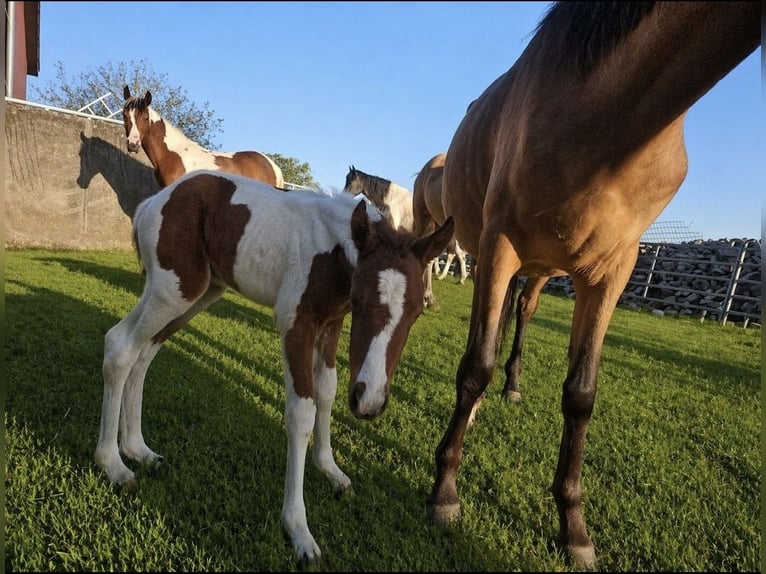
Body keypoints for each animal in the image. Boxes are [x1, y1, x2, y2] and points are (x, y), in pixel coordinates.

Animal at [95, 170, 454, 562]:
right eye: (359, 300)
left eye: (417, 312)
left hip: (199, 293)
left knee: (142, 355)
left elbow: (327, 390)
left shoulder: (331, 323)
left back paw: (137, 449)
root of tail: (153, 202)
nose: (369, 402)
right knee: (120, 347)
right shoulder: (295, 324)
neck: (333, 250)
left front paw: (330, 469)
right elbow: (301, 413)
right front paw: (298, 528)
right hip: (173, 291)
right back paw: (113, 464)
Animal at [427, 2, 759, 569]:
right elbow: (475, 365)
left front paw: (574, 529)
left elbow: (580, 393)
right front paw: (445, 492)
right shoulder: (499, 241)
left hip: (539, 269)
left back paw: (510, 389)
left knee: (521, 313)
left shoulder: (612, 271)